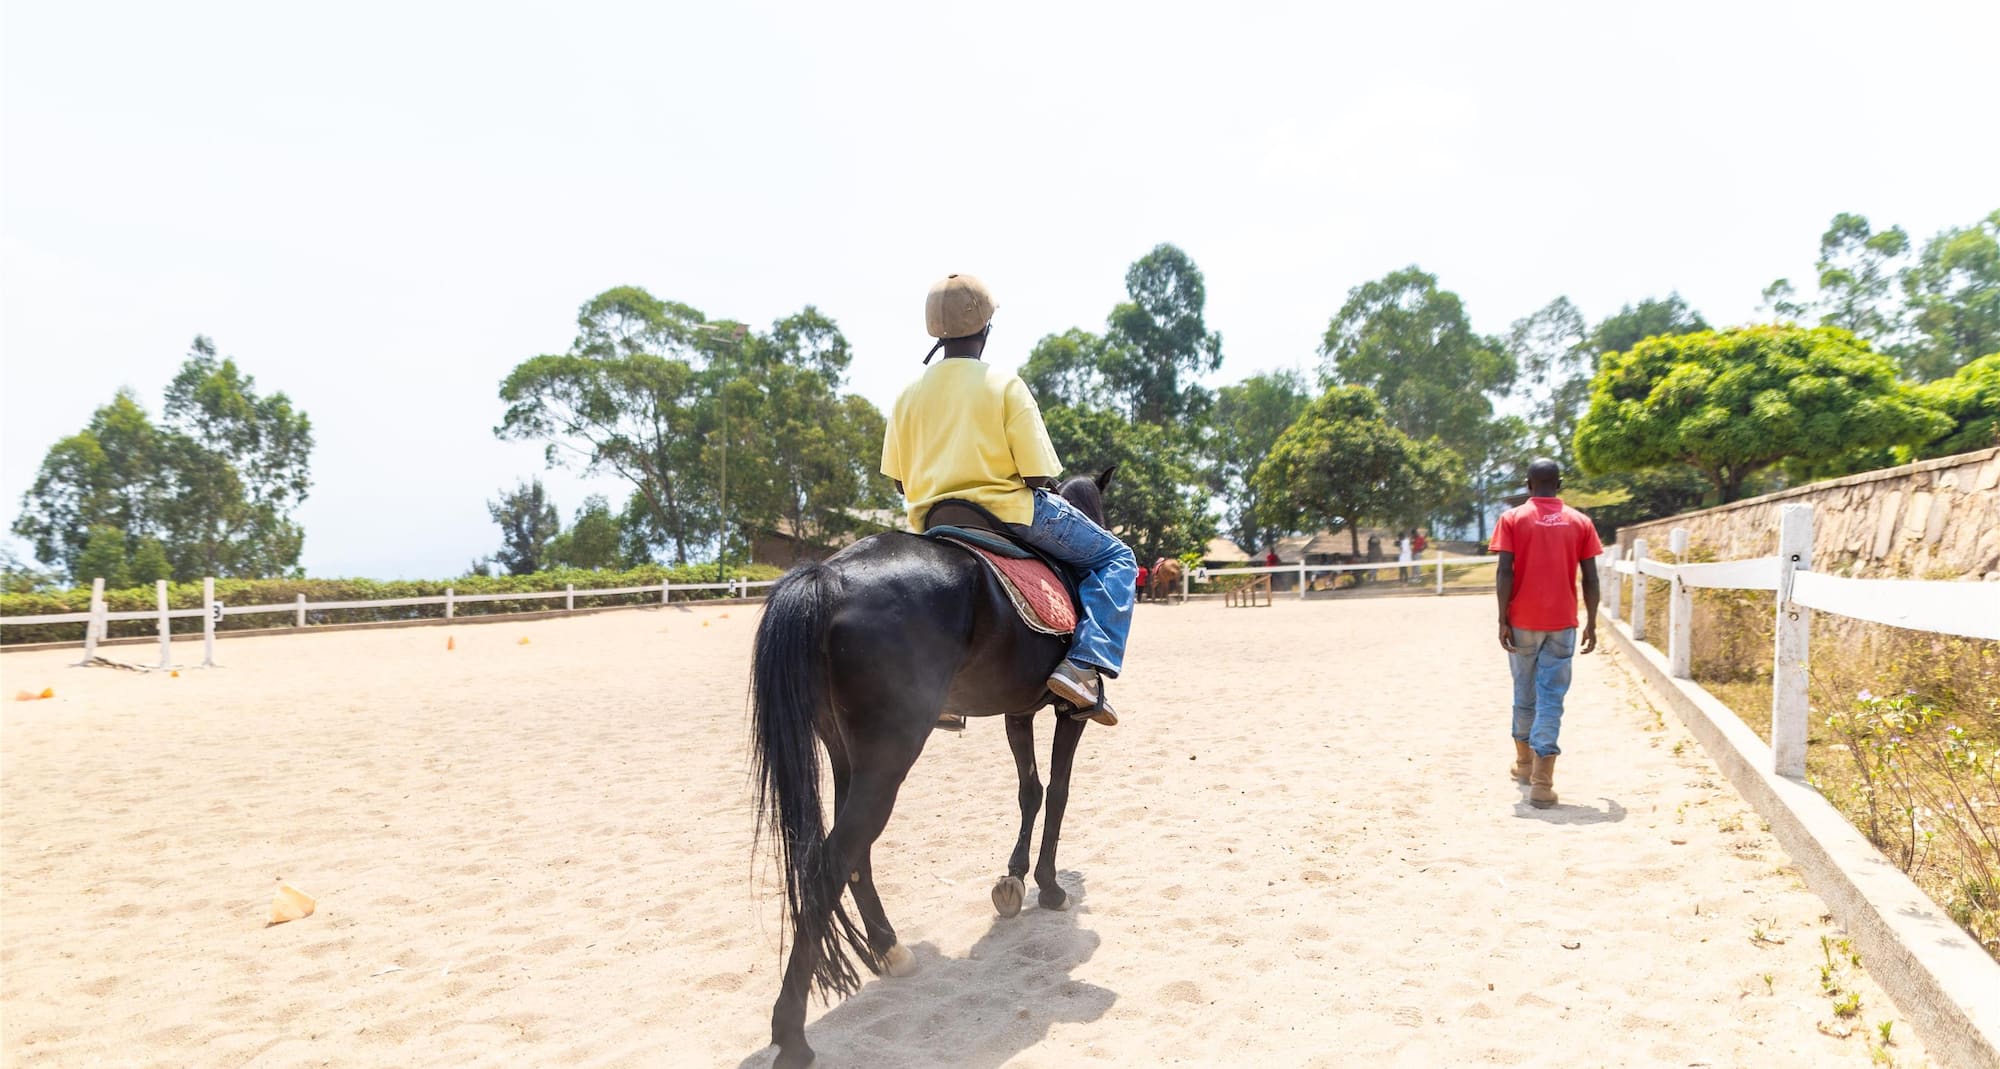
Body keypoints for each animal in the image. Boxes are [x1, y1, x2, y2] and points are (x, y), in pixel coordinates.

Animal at [749, 469, 1115, 1069]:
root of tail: (829, 575)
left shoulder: (1018, 711)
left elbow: (1031, 789)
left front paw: (1014, 880)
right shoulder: (1068, 713)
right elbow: (1059, 791)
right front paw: (1048, 886)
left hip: (848, 752)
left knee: (853, 851)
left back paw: (890, 950)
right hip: (889, 752)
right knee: (834, 858)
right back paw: (793, 1035)